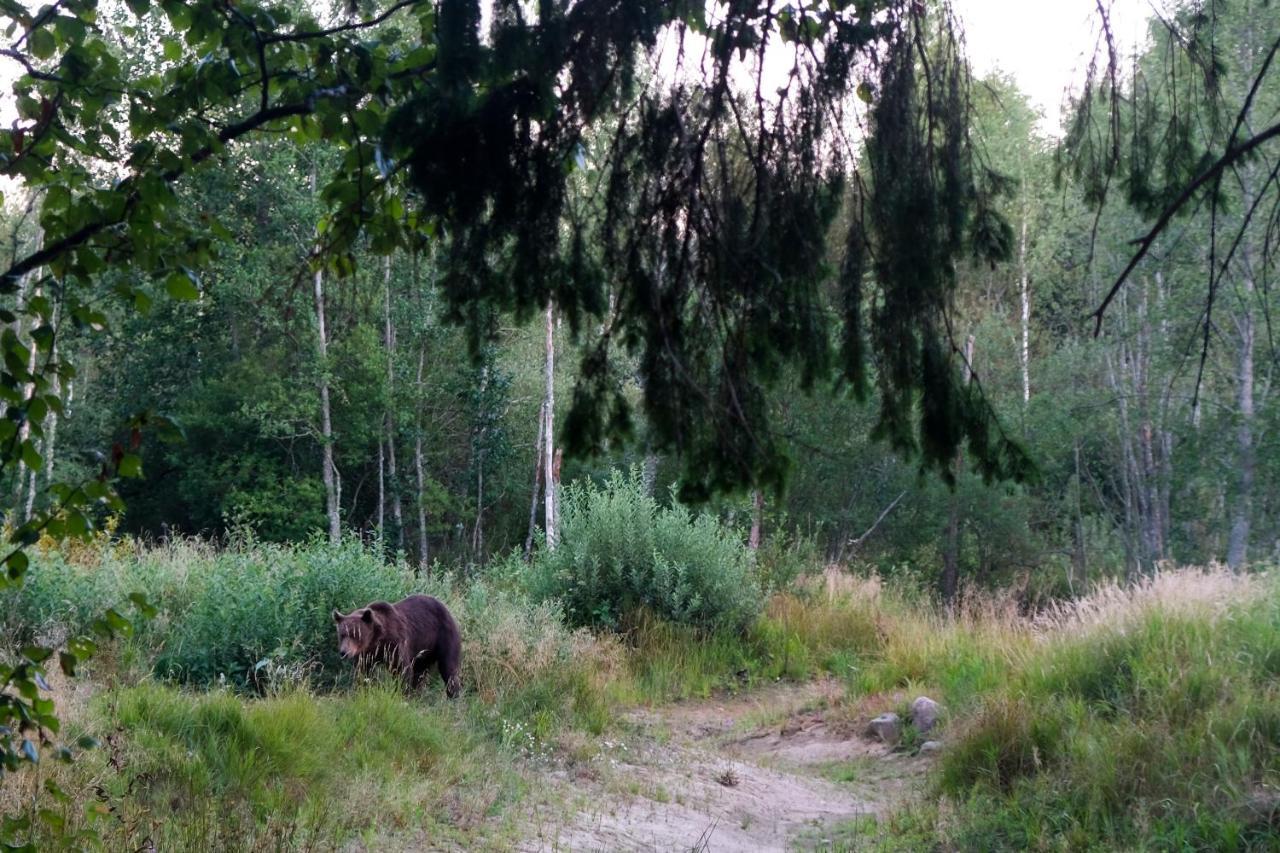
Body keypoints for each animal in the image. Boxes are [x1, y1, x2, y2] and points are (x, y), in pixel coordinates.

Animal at [332, 594, 463, 696]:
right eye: (342, 634)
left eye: (355, 635)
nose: (344, 652)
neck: (377, 640)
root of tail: (448, 609)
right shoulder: (366, 654)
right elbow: (363, 671)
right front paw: (362, 689)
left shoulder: (395, 645)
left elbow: (402, 670)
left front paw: (400, 694)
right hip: (424, 651)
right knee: (419, 673)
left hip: (444, 636)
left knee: (448, 668)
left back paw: (453, 696)